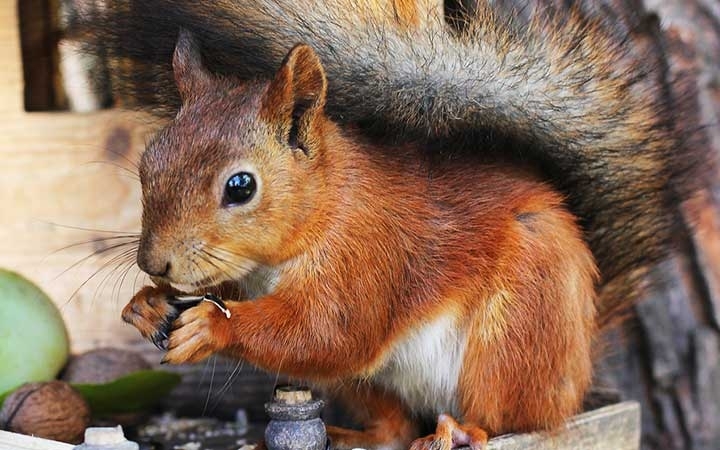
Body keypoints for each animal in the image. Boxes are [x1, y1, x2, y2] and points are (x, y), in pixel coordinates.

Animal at [121, 31, 598, 449]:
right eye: (148, 162)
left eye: (241, 187)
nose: (153, 264)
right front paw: (148, 304)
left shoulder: (364, 254)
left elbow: (330, 333)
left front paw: (212, 325)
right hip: (366, 384)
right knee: (395, 430)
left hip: (517, 328)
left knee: (508, 418)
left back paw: (462, 431)